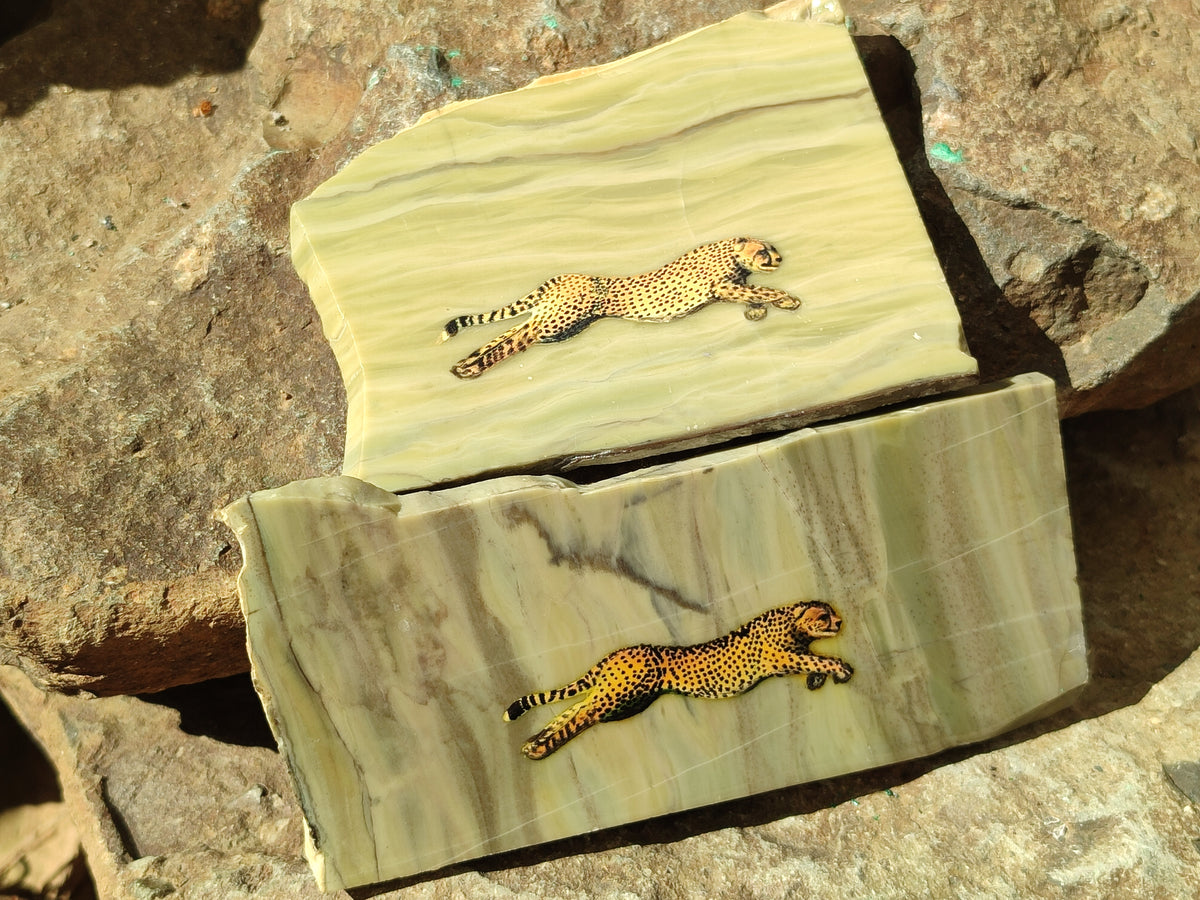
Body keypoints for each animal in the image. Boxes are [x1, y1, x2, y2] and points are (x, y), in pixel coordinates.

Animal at [438, 237, 802, 379]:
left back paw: (462, 367)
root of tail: (564, 276)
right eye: (764, 251)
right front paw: (787, 300)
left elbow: (753, 293)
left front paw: (759, 310)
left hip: (555, 321)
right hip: (558, 322)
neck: (732, 250)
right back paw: (471, 369)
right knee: (517, 339)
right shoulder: (721, 286)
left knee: (511, 332)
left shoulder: (729, 288)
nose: (780, 259)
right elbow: (760, 288)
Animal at [503, 601, 853, 760]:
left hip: (618, 698)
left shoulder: (788, 658)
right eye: (824, 616)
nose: (840, 622)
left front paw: (818, 679)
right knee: (581, 717)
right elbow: (818, 659)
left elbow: (813, 661)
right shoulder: (781, 658)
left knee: (574, 710)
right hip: (618, 696)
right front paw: (840, 669)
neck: (791, 622)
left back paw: (531, 743)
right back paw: (539, 750)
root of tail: (618, 652)